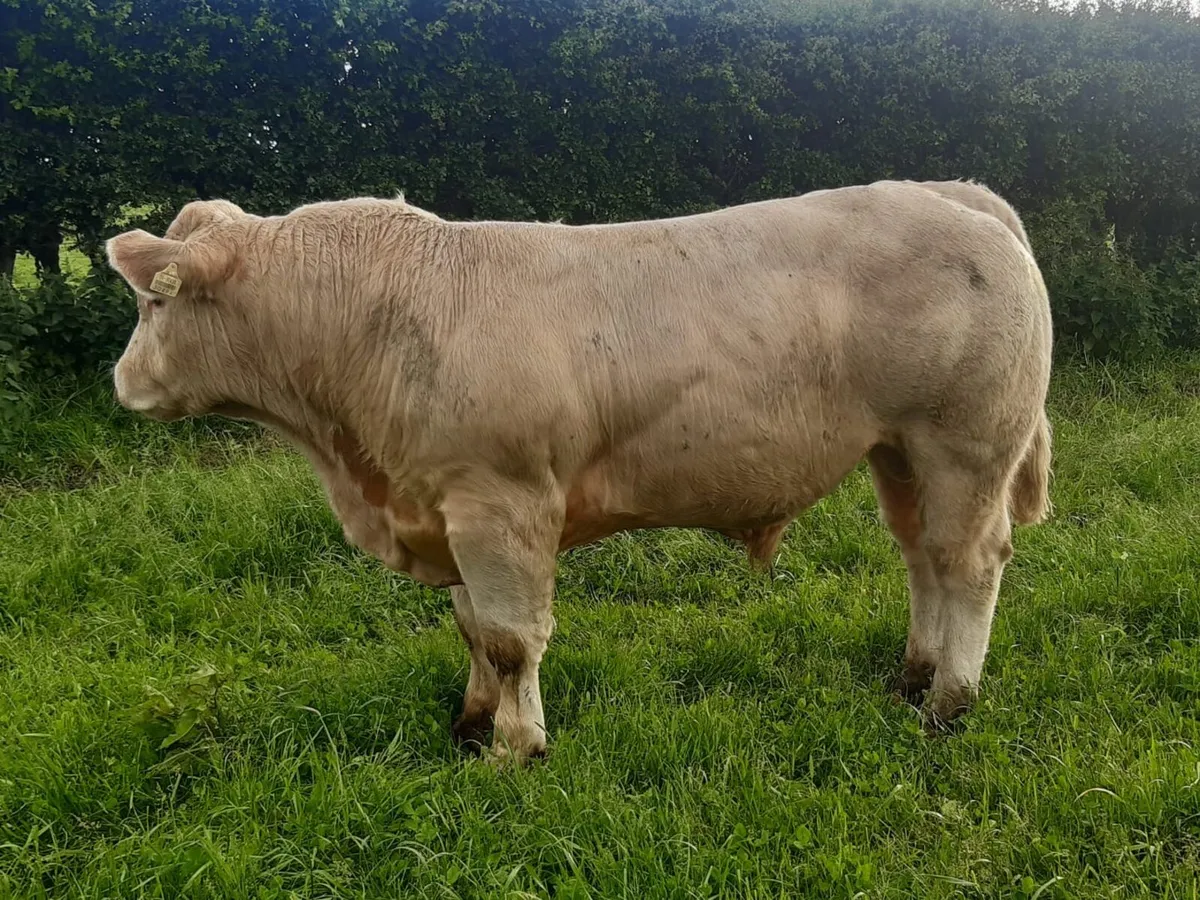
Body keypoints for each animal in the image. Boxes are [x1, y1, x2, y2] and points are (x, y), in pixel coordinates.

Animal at [106, 179, 1053, 762]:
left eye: (154, 301)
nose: (121, 381)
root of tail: (951, 192)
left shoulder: (503, 504)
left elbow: (510, 637)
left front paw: (514, 749)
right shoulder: (447, 505)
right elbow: (471, 629)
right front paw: (471, 722)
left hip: (966, 444)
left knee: (969, 563)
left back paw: (948, 703)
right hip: (900, 451)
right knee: (922, 555)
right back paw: (912, 675)